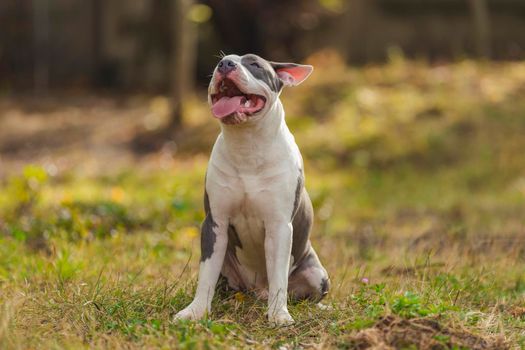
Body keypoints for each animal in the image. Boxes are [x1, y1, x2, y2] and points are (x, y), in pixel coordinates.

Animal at [178, 52, 330, 326]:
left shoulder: (279, 227)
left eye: (255, 64)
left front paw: (279, 316)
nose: (225, 64)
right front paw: (195, 312)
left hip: (316, 273)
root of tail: (257, 291)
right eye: (220, 61)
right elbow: (205, 274)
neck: (246, 145)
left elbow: (279, 277)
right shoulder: (215, 223)